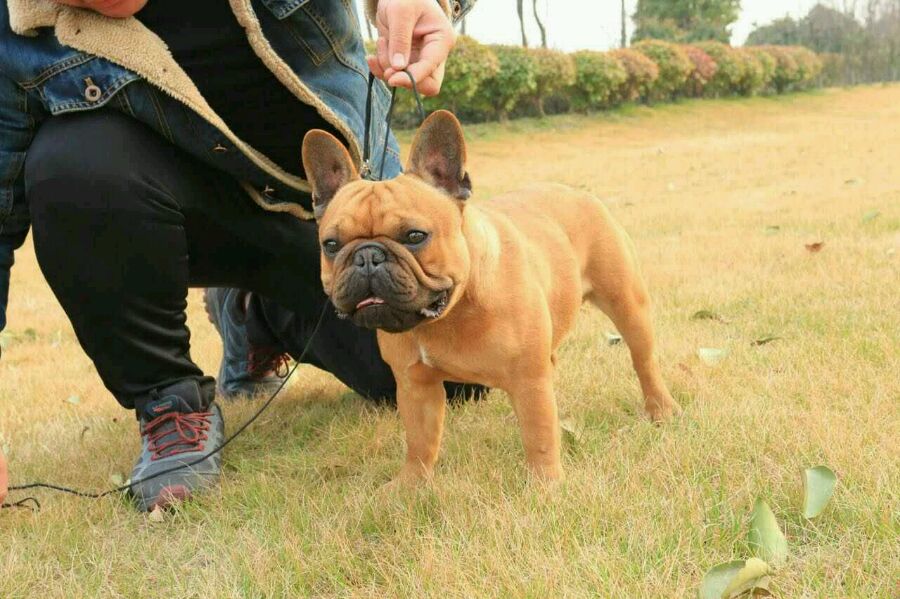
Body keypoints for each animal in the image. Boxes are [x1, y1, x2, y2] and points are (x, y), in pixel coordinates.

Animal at [301, 110, 680, 483]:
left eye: (415, 236)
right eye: (330, 245)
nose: (367, 257)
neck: (451, 313)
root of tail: (575, 192)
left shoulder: (529, 381)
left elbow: (540, 436)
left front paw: (546, 486)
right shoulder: (415, 385)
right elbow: (420, 441)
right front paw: (410, 485)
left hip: (627, 304)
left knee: (644, 361)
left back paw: (661, 410)